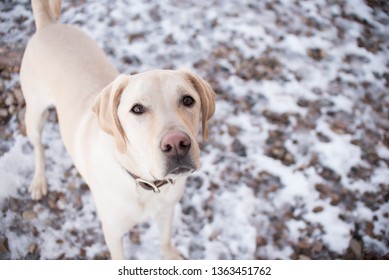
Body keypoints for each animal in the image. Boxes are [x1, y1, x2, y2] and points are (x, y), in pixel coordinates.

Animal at [19, 0, 215, 260]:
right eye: (137, 109)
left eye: (188, 100)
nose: (176, 144)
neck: (145, 184)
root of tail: (48, 25)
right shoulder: (112, 232)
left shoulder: (166, 211)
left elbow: (165, 240)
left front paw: (171, 255)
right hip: (35, 114)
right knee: (38, 147)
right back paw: (39, 181)